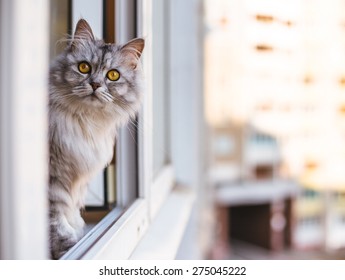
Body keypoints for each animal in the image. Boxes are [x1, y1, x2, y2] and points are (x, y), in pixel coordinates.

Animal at [48, 19, 144, 260]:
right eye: (84, 68)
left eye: (113, 75)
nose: (95, 84)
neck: (85, 122)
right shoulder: (54, 174)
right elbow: (57, 216)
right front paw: (67, 245)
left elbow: (71, 207)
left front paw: (77, 228)